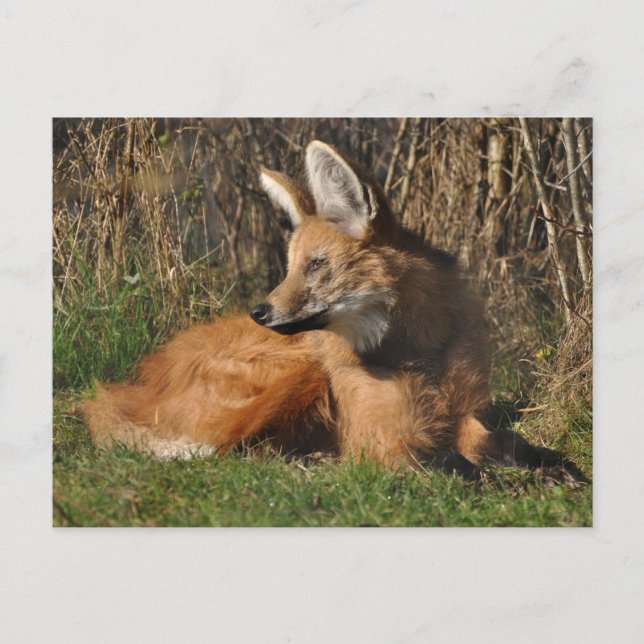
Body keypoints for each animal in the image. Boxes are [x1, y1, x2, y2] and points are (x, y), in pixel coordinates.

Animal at [84, 140, 573, 479]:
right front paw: (509, 483)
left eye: (316, 265)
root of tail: (135, 387)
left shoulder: (463, 415)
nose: (260, 312)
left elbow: (503, 442)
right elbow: (454, 464)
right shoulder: (387, 439)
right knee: (231, 450)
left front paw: (553, 468)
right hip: (302, 370)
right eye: (289, 266)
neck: (413, 355)